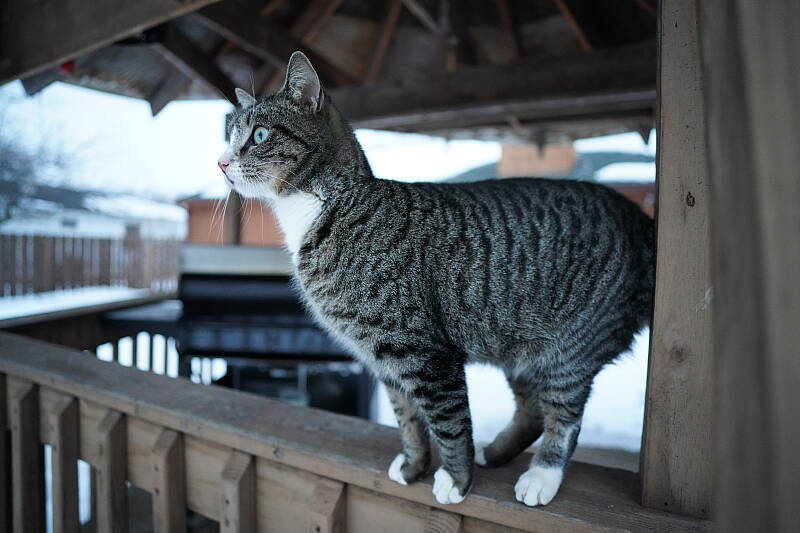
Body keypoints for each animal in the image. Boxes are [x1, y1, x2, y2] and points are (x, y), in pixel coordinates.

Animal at [218, 52, 654, 507]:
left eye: (259, 134)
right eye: (229, 136)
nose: (222, 163)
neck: (329, 207)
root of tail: (639, 218)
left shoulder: (426, 353)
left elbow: (450, 421)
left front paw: (456, 480)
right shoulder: (385, 356)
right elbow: (407, 418)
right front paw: (414, 466)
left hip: (572, 346)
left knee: (564, 413)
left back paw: (542, 475)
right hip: (518, 347)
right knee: (533, 408)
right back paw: (495, 452)